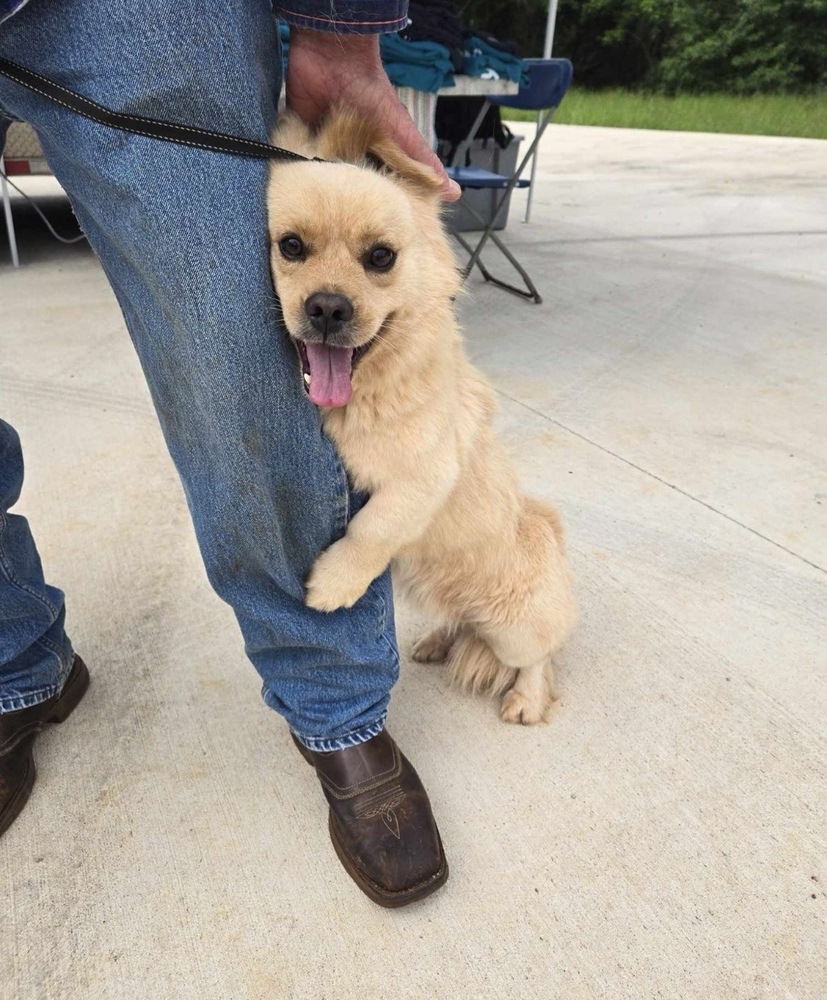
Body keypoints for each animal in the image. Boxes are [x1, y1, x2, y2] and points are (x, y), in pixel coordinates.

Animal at [266, 109, 576, 724]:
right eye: (291, 246)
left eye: (380, 257)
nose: (328, 308)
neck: (362, 392)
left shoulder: (425, 477)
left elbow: (372, 528)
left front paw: (334, 584)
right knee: (461, 625)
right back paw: (437, 641)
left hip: (512, 626)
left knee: (540, 657)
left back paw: (526, 700)